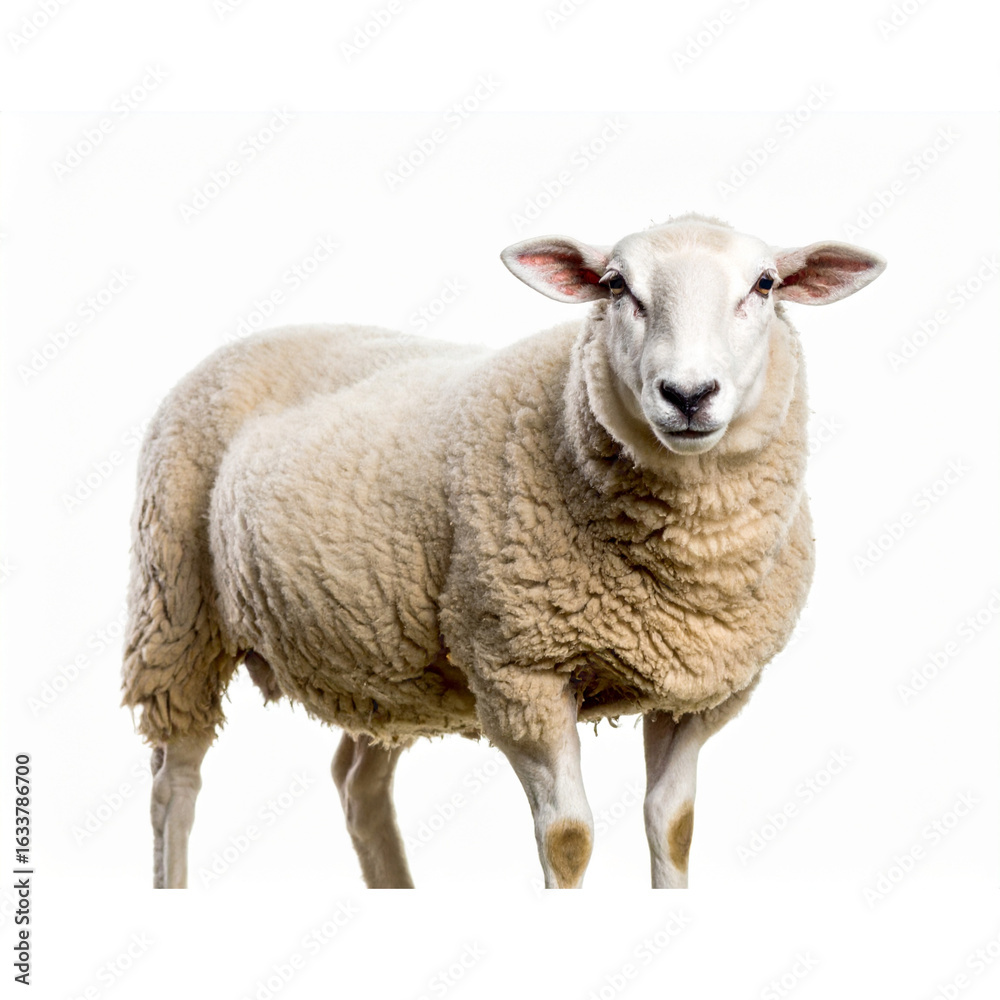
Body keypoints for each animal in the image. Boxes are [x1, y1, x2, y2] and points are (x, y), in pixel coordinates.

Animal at [122, 213, 885, 889]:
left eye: (765, 284)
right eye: (616, 286)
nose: (689, 394)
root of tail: (259, 336)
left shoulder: (701, 688)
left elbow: (674, 827)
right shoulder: (519, 671)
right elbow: (569, 839)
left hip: (377, 655)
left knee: (356, 783)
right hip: (177, 612)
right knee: (173, 780)